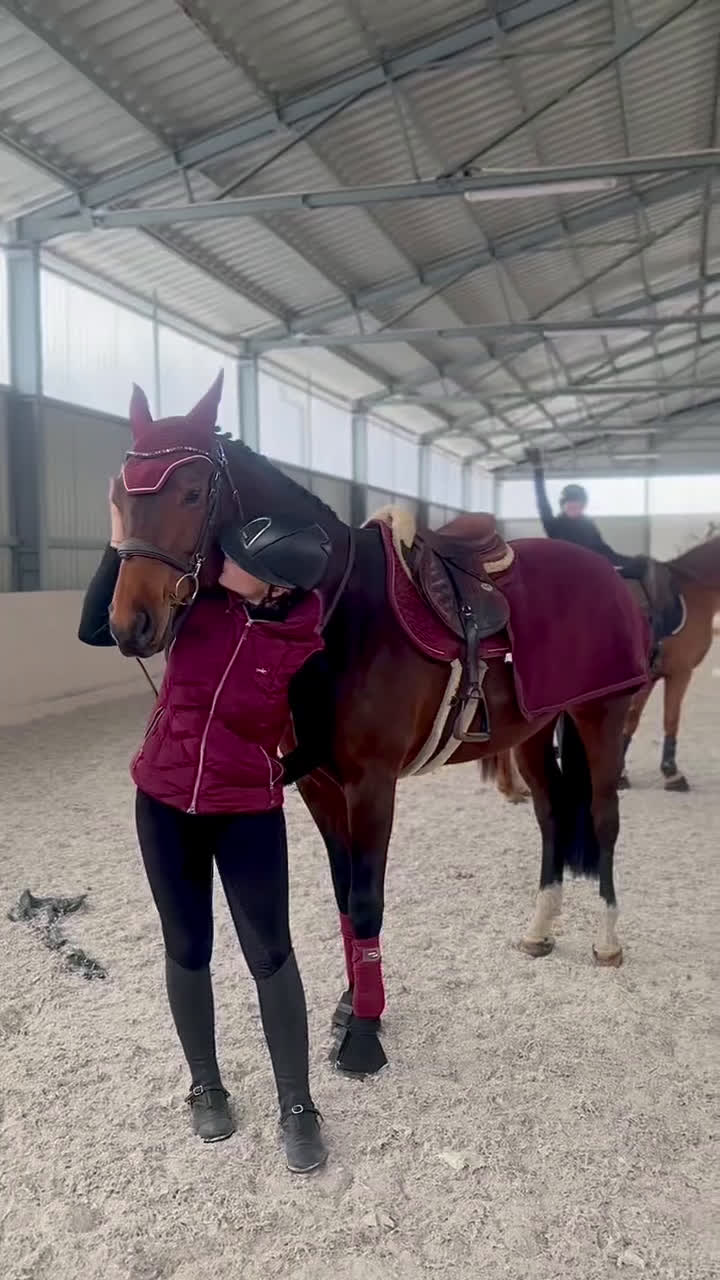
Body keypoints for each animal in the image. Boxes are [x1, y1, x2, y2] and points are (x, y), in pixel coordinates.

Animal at [107, 378, 650, 1076]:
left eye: (193, 493)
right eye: (120, 492)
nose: (131, 623)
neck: (340, 610)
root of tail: (607, 572)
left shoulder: (371, 785)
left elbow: (367, 900)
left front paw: (364, 1035)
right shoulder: (320, 786)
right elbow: (345, 897)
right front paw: (352, 1005)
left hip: (600, 719)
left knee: (604, 820)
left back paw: (607, 941)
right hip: (532, 732)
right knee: (554, 814)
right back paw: (539, 929)